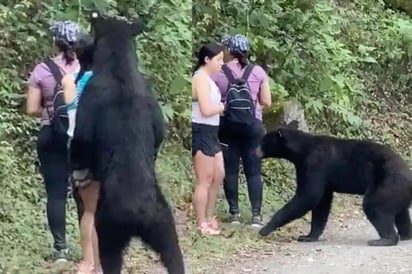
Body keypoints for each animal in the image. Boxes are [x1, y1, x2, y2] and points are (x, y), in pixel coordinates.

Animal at [69, 10, 183, 274]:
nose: (81, 46)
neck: (119, 67)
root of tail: (137, 214)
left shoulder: (90, 99)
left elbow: (81, 141)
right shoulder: (151, 101)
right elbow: (158, 133)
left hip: (108, 226)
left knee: (110, 256)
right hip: (163, 221)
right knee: (174, 254)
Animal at [256, 127, 412, 247]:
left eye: (263, 141)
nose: (254, 151)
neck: (301, 150)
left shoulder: (314, 164)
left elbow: (308, 196)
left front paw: (265, 229)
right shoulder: (321, 177)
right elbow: (322, 204)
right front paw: (308, 236)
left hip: (388, 183)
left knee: (374, 206)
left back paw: (384, 239)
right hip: (397, 191)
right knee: (401, 212)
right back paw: (405, 234)